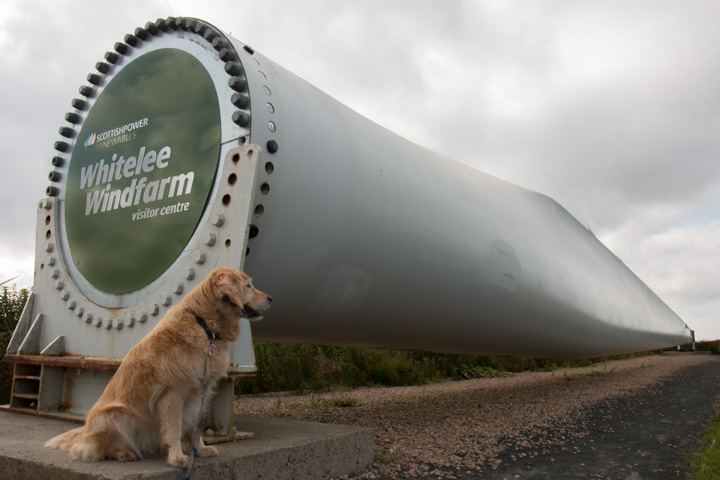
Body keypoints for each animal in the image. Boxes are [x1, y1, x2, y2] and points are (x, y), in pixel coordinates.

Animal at [45, 268, 272, 466]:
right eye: (248, 285)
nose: (270, 298)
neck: (205, 327)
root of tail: (84, 431)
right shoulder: (173, 393)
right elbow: (174, 428)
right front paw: (177, 458)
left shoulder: (201, 392)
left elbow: (195, 428)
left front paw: (200, 450)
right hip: (115, 415)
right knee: (91, 448)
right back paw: (125, 453)